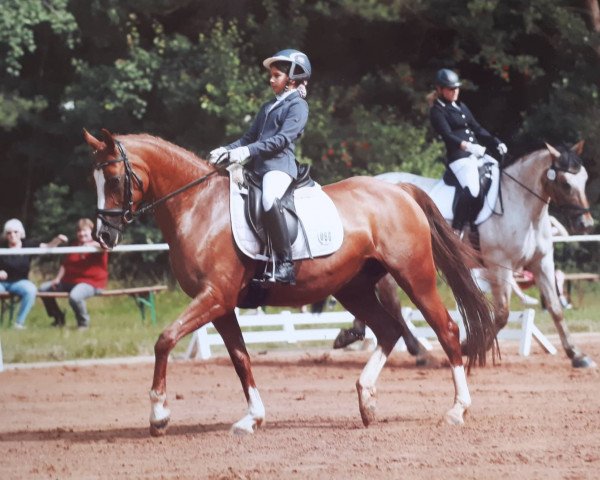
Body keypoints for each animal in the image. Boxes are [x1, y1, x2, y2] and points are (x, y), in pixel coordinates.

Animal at [85, 129, 496, 436]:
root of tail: (398, 190)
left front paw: (159, 416)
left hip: (414, 275)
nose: (103, 235)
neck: (199, 207)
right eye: (95, 180)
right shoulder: (221, 306)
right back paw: (366, 401)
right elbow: (240, 358)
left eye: (116, 179)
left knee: (445, 329)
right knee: (389, 329)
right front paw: (252, 418)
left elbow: (165, 339)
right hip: (353, 287)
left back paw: (456, 410)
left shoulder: (214, 297)